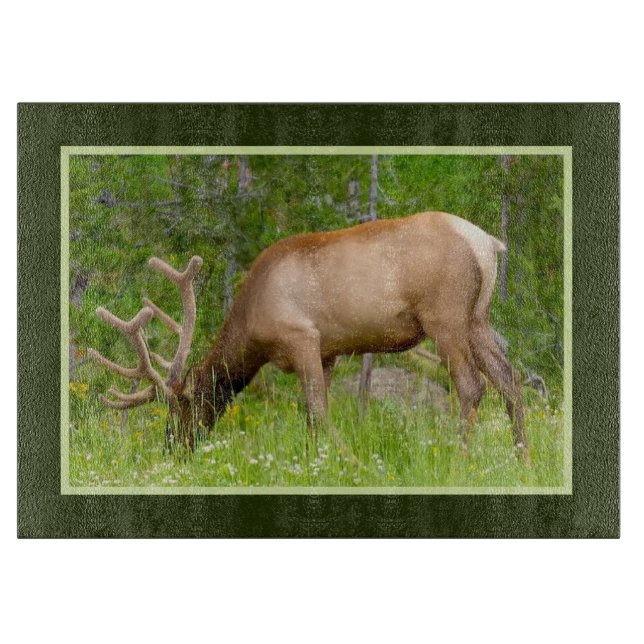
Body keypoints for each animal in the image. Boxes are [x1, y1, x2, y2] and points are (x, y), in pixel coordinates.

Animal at [89, 211, 529, 462]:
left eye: (182, 406)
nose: (171, 450)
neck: (251, 329)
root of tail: (488, 243)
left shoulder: (301, 338)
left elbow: (317, 410)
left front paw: (352, 463)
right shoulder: (328, 351)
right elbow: (311, 416)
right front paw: (314, 463)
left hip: (445, 315)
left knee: (472, 385)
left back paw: (458, 461)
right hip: (477, 318)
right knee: (510, 378)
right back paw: (523, 460)